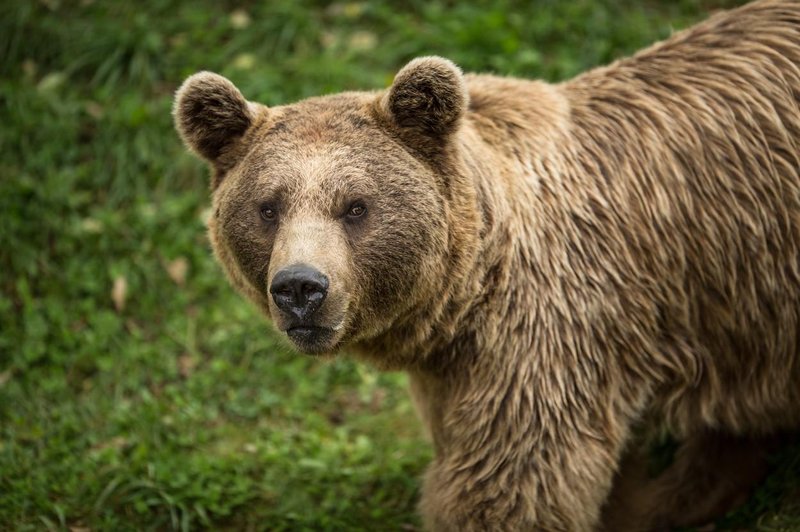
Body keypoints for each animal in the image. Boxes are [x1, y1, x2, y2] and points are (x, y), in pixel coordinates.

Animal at [172, 2, 800, 528]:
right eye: (268, 206)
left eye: (356, 206)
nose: (300, 287)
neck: (466, 299)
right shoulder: (457, 370)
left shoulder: (545, 341)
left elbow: (509, 484)